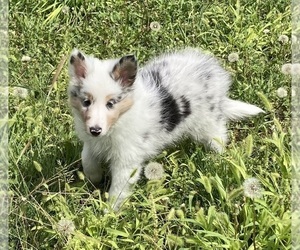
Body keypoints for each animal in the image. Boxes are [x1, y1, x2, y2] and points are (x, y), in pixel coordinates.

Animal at [67, 47, 262, 210]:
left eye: (111, 104)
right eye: (86, 102)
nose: (95, 130)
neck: (119, 120)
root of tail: (214, 72)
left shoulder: (127, 161)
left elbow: (118, 190)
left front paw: (110, 213)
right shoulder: (91, 144)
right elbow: (87, 160)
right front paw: (94, 179)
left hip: (208, 124)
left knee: (219, 139)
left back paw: (217, 160)